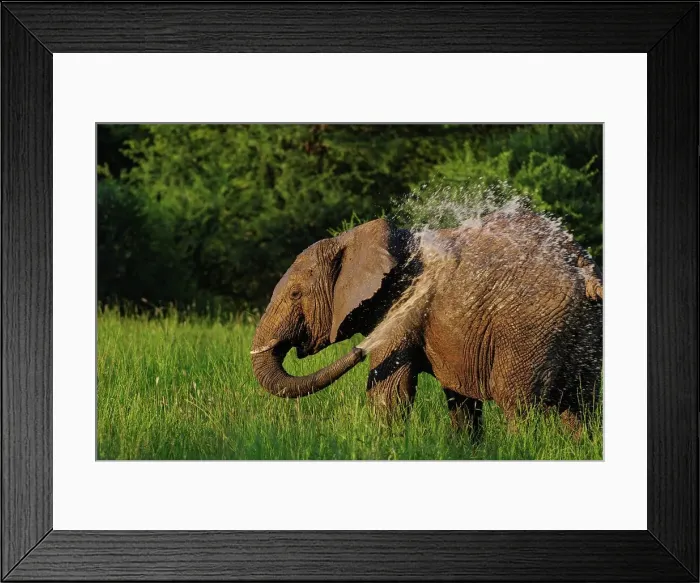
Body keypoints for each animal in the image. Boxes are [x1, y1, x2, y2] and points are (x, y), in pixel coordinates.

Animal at [250, 207, 603, 435]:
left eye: (295, 294)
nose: (359, 351)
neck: (353, 239)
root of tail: (584, 269)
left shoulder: (399, 309)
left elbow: (389, 393)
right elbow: (460, 401)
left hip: (530, 328)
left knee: (517, 402)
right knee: (583, 404)